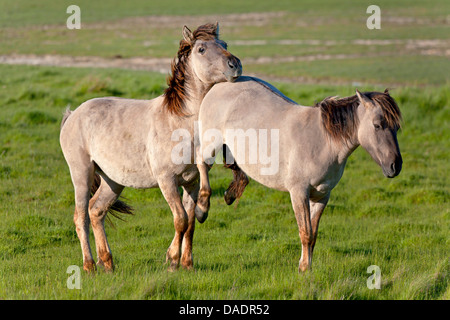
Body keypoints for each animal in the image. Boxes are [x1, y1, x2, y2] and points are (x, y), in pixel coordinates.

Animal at [60, 23, 243, 272]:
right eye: (201, 49)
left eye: (224, 44)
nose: (235, 65)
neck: (180, 123)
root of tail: (72, 115)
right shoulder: (167, 181)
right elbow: (180, 219)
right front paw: (172, 261)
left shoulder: (192, 182)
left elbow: (191, 222)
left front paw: (187, 264)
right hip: (81, 174)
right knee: (81, 217)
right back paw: (90, 266)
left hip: (113, 180)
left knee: (96, 210)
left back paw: (107, 263)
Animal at [195, 76, 402, 272]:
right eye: (377, 125)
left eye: (397, 128)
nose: (395, 166)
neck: (323, 142)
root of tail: (220, 85)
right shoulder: (299, 193)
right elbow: (306, 232)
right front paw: (304, 268)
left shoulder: (322, 196)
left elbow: (313, 234)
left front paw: (305, 266)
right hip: (210, 146)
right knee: (201, 162)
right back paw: (201, 208)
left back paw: (229, 195)